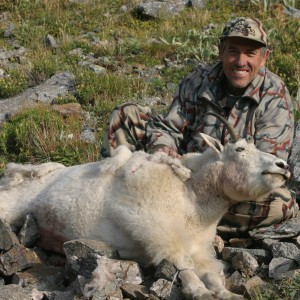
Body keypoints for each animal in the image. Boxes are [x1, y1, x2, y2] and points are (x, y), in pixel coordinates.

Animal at [0, 113, 290, 298]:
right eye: (240, 150)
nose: (283, 166)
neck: (190, 198)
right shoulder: (152, 227)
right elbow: (180, 262)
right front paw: (199, 291)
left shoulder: (199, 245)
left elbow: (211, 271)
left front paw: (224, 292)